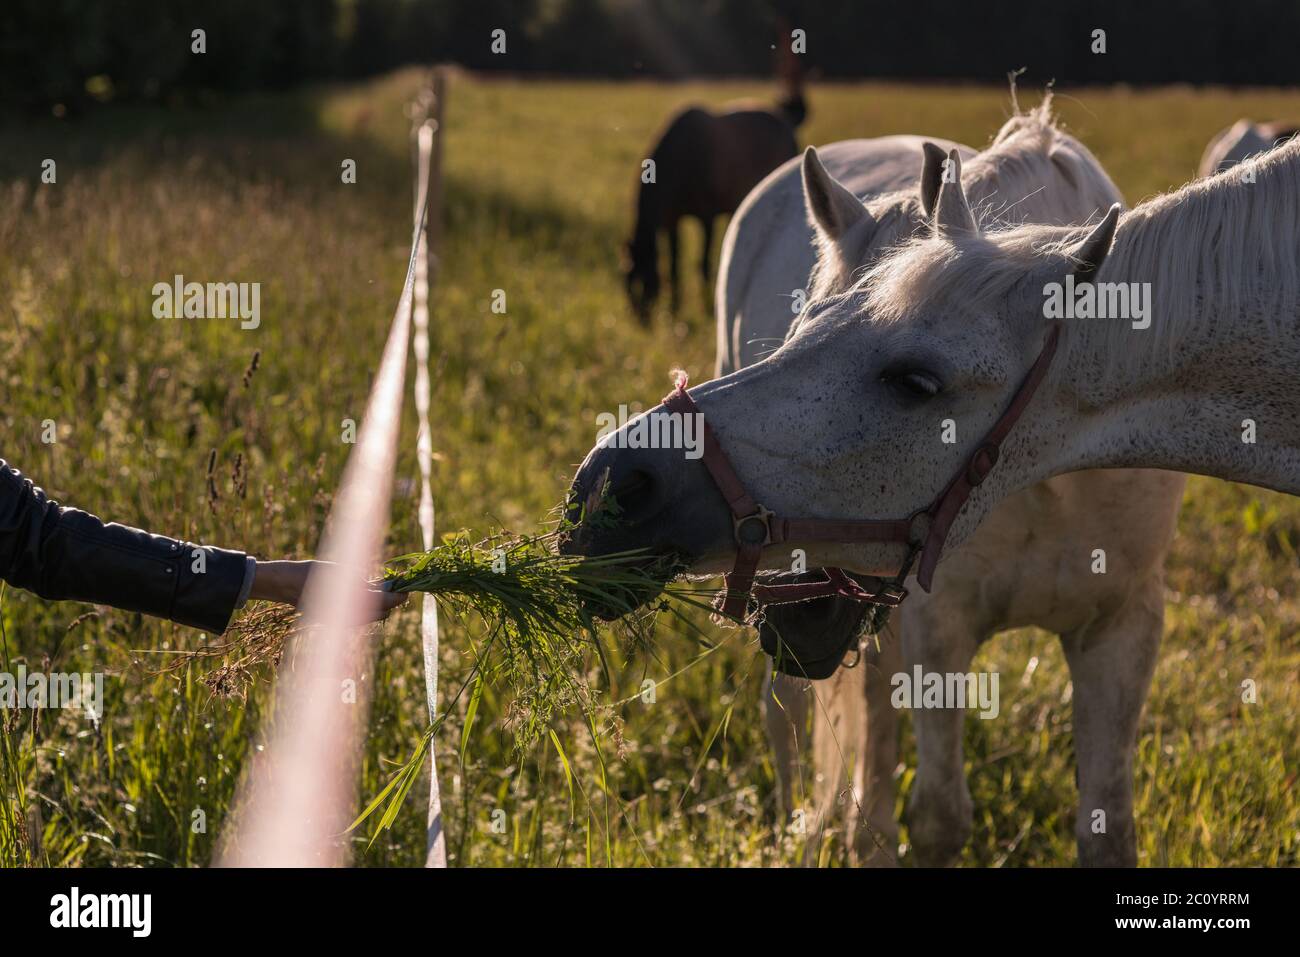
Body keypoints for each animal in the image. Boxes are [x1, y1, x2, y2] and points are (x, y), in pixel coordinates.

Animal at [618, 48, 800, 323]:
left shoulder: (707, 217)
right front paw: (674, 309)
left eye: (646, 281)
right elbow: (674, 266)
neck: (681, 160)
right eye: (627, 281)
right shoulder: (672, 220)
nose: (641, 321)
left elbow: (702, 264)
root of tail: (787, 121)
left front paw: (705, 310)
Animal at [722, 106, 1190, 868]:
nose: (799, 615)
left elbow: (1109, 830)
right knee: (792, 710)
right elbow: (941, 815)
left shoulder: (1120, 628)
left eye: (909, 382)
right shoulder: (938, 626)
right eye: (799, 339)